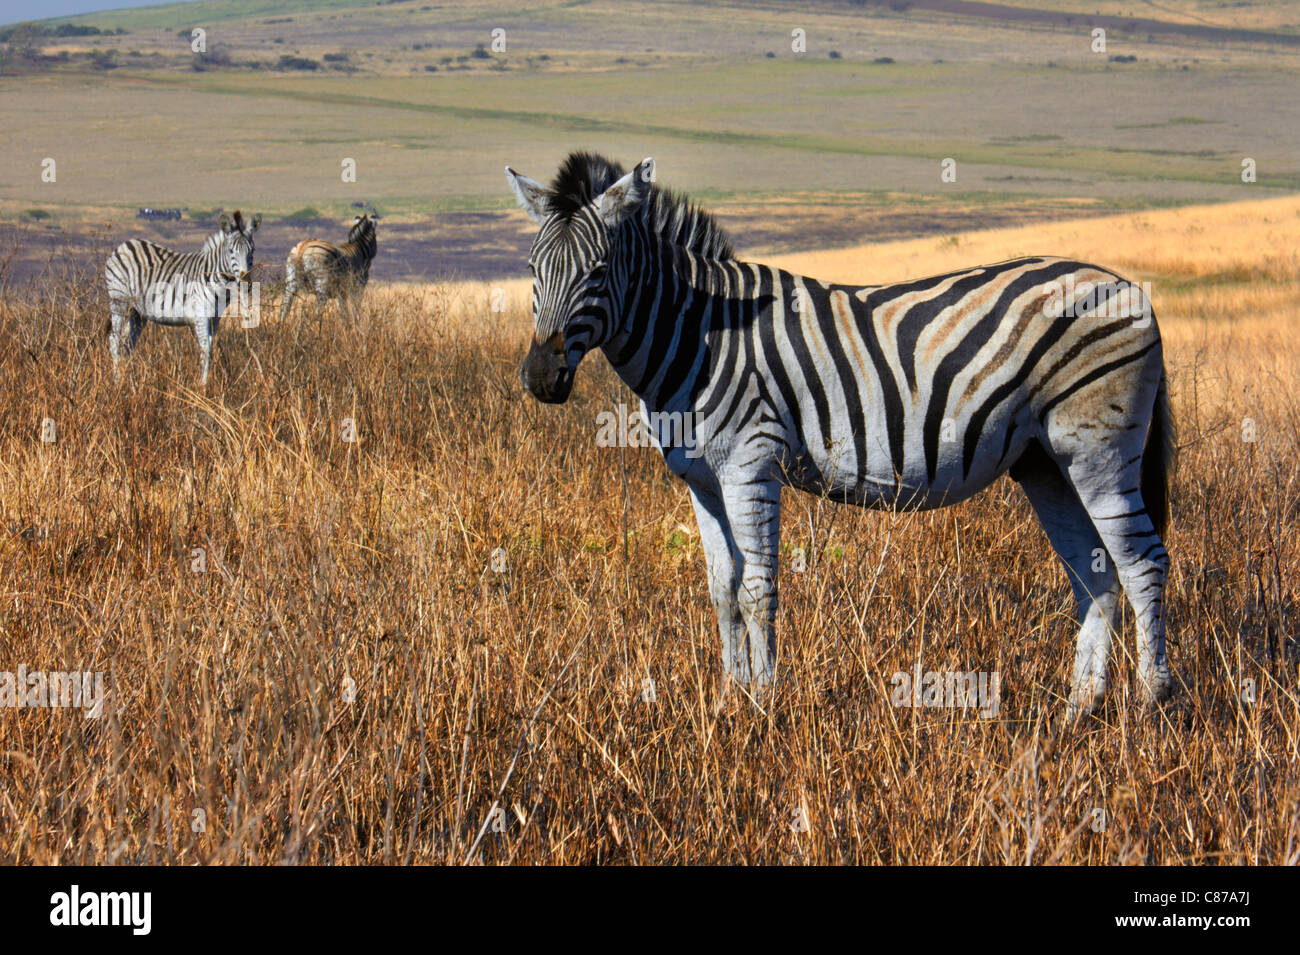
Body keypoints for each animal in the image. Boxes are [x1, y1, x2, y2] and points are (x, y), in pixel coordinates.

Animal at [105, 210, 261, 384]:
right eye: (231, 251)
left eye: (252, 250)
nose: (245, 282)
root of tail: (124, 244)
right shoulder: (200, 314)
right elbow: (205, 349)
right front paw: (202, 385)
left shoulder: (215, 318)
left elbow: (211, 347)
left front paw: (205, 383)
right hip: (118, 299)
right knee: (114, 339)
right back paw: (117, 381)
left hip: (137, 310)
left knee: (128, 343)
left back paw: (130, 380)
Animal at [506, 151, 1175, 719]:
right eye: (532, 270)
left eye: (597, 272)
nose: (540, 378)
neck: (700, 334)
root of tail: (1132, 288)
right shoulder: (701, 480)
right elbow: (721, 590)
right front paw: (727, 703)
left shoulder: (751, 465)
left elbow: (758, 588)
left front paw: (765, 706)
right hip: (1045, 462)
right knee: (1096, 575)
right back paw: (1079, 713)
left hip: (1098, 453)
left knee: (1143, 563)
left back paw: (1152, 708)